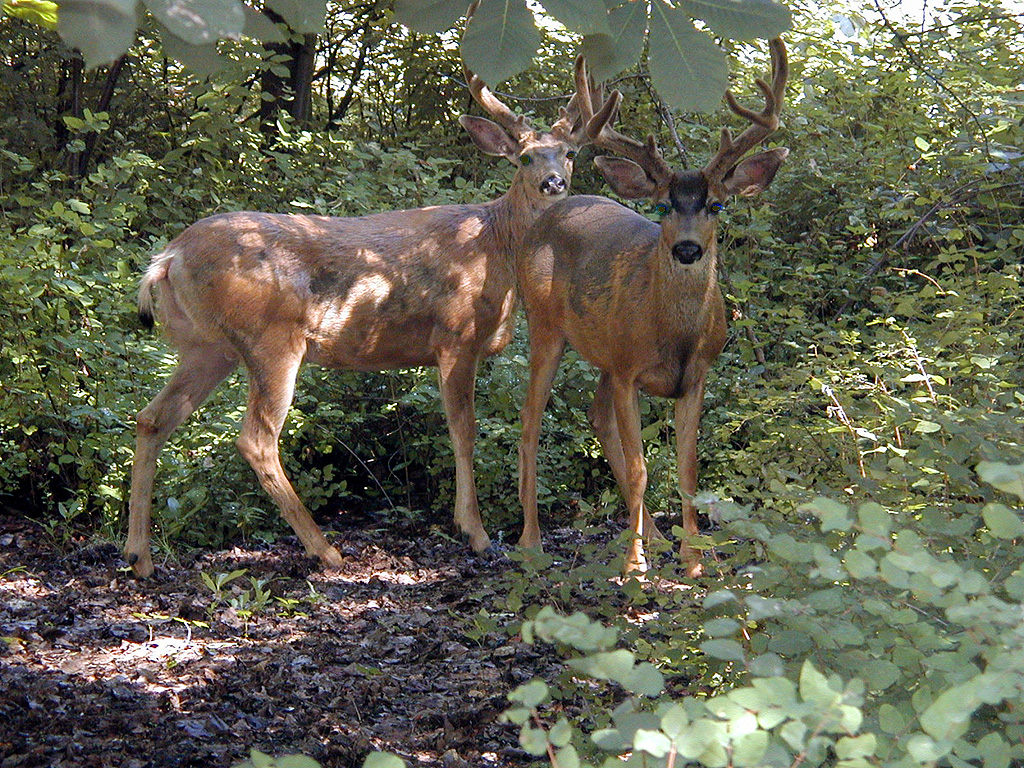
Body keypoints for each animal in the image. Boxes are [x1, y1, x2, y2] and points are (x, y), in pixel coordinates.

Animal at [123, 57, 618, 578]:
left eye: (569, 153)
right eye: (524, 158)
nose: (553, 184)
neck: (495, 245)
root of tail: (168, 258)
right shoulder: (455, 335)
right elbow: (464, 431)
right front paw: (475, 533)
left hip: (206, 346)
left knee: (152, 418)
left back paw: (139, 556)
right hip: (269, 340)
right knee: (256, 439)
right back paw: (326, 550)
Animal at [516, 39, 788, 575]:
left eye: (716, 205)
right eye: (663, 206)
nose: (686, 248)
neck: (675, 335)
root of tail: (549, 213)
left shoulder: (695, 376)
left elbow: (688, 469)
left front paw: (696, 560)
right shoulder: (628, 372)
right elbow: (643, 467)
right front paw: (632, 566)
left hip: (602, 350)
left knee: (595, 417)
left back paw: (657, 538)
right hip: (545, 326)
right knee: (531, 422)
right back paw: (532, 542)